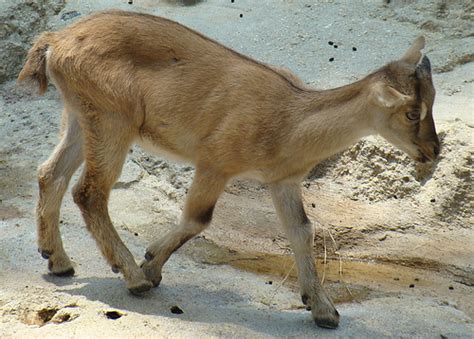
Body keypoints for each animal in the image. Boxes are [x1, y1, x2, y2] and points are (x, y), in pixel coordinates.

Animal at [18, 10, 440, 330]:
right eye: (411, 112)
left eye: (432, 100)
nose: (432, 152)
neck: (290, 120)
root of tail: (56, 40)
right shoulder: (215, 163)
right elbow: (198, 218)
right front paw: (150, 264)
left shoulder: (282, 181)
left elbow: (302, 231)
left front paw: (324, 310)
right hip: (112, 120)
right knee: (89, 192)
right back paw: (133, 278)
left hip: (79, 116)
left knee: (49, 174)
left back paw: (58, 261)